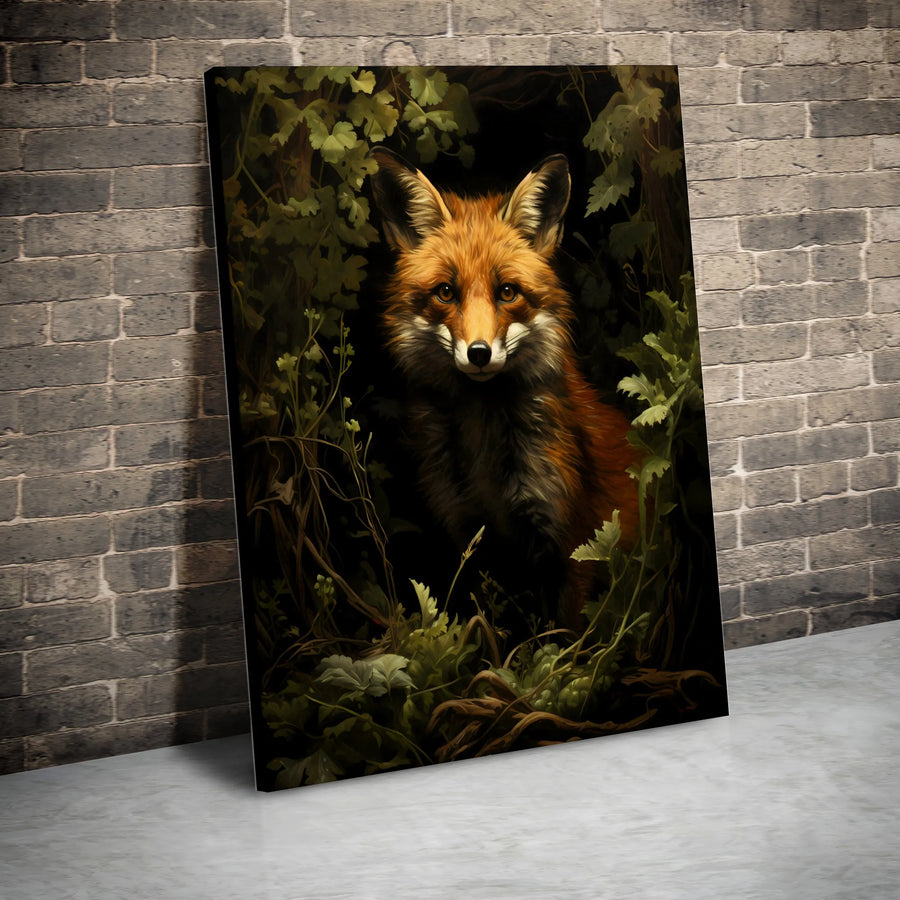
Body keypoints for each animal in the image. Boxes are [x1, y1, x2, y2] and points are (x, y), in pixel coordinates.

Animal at [369, 147, 642, 628]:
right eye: (446, 292)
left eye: (508, 292)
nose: (478, 353)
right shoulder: (472, 539)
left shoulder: (571, 544)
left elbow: (564, 637)